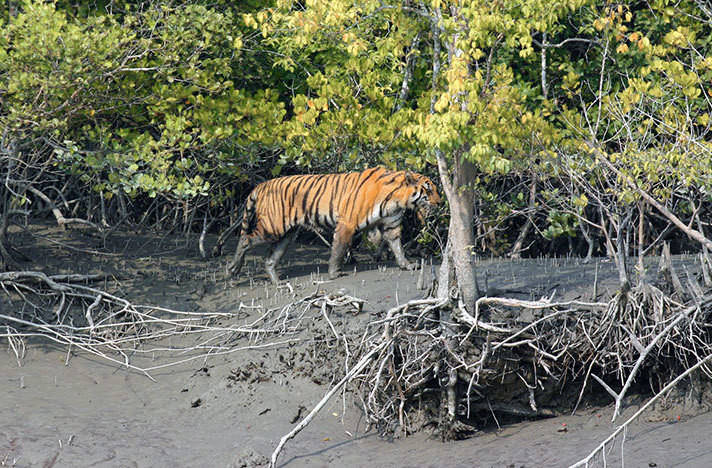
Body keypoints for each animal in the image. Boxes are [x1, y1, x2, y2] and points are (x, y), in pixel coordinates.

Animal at [226, 166, 441, 284]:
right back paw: (233, 269)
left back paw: (277, 282)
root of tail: (261, 185)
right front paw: (334, 273)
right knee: (245, 239)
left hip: (287, 235)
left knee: (270, 258)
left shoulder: (391, 225)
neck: (397, 200)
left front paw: (407, 265)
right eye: (428, 190)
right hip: (273, 227)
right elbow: (339, 249)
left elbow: (397, 247)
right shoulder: (347, 223)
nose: (440, 203)